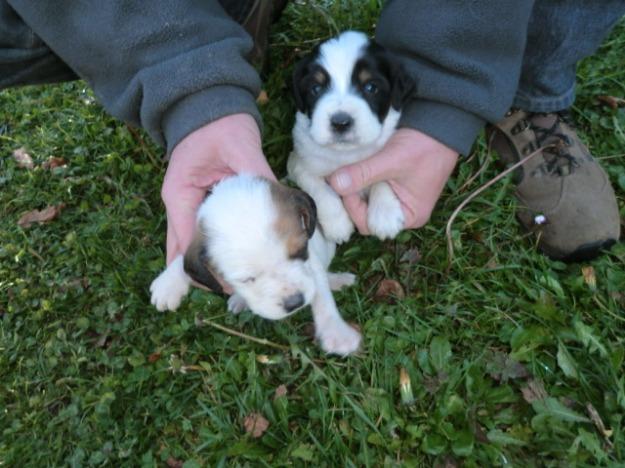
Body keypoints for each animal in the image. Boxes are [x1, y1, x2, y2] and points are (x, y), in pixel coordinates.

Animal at [149, 175, 360, 354]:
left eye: (300, 251)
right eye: (246, 279)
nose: (295, 303)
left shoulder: (312, 261)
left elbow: (322, 294)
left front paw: (336, 331)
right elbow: (184, 257)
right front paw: (168, 284)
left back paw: (339, 280)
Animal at [286, 31, 414, 243]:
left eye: (371, 87)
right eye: (316, 89)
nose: (340, 122)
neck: (346, 154)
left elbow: (383, 174)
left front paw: (384, 215)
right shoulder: (300, 162)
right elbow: (320, 190)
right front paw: (338, 225)